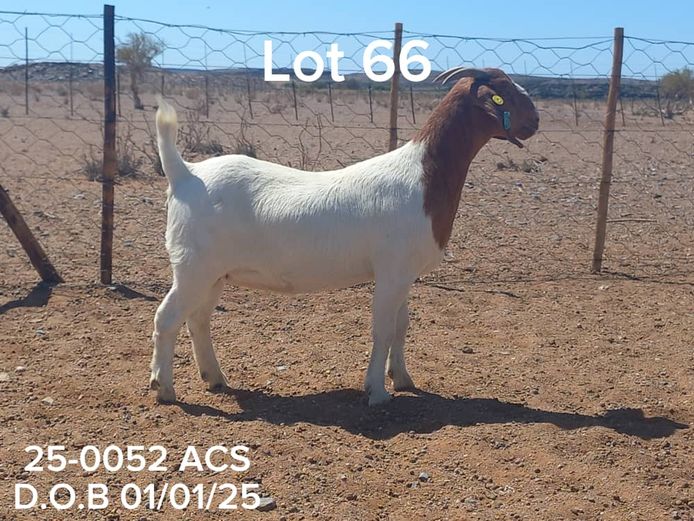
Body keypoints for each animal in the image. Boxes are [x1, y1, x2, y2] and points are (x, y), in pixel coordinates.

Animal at [149, 67, 539, 406]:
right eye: (504, 91)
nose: (535, 120)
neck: (424, 176)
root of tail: (186, 174)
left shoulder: (404, 274)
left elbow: (401, 326)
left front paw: (402, 379)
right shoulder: (391, 272)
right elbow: (383, 329)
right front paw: (377, 392)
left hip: (214, 273)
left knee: (198, 320)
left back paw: (214, 378)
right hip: (193, 267)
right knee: (167, 318)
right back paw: (164, 388)